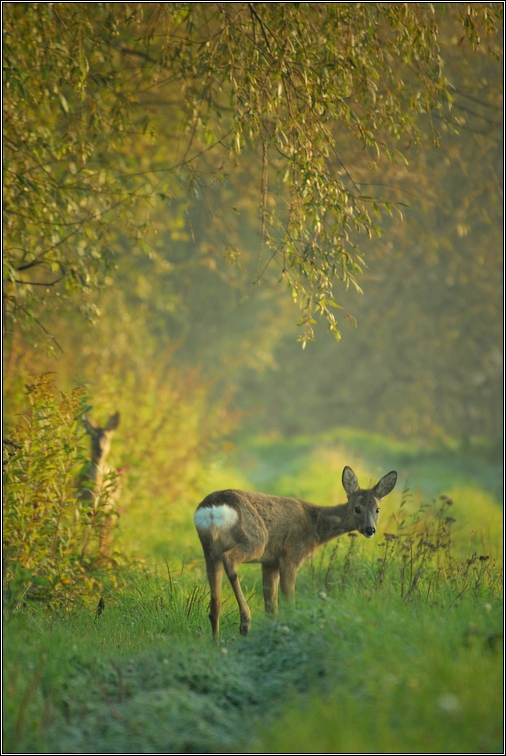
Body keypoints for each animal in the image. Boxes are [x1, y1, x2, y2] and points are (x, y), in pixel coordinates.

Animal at [79, 410, 122, 552]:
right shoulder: (83, 504)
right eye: (92, 438)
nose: (100, 451)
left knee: (107, 534)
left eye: (106, 439)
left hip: (111, 510)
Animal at [194, 466, 396, 636]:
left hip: (209, 551)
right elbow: (289, 601)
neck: (316, 525)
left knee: (215, 603)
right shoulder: (290, 556)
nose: (370, 529)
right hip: (255, 540)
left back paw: (217, 645)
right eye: (357, 508)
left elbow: (271, 607)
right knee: (230, 560)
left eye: (377, 509)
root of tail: (213, 510)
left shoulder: (269, 562)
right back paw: (245, 621)